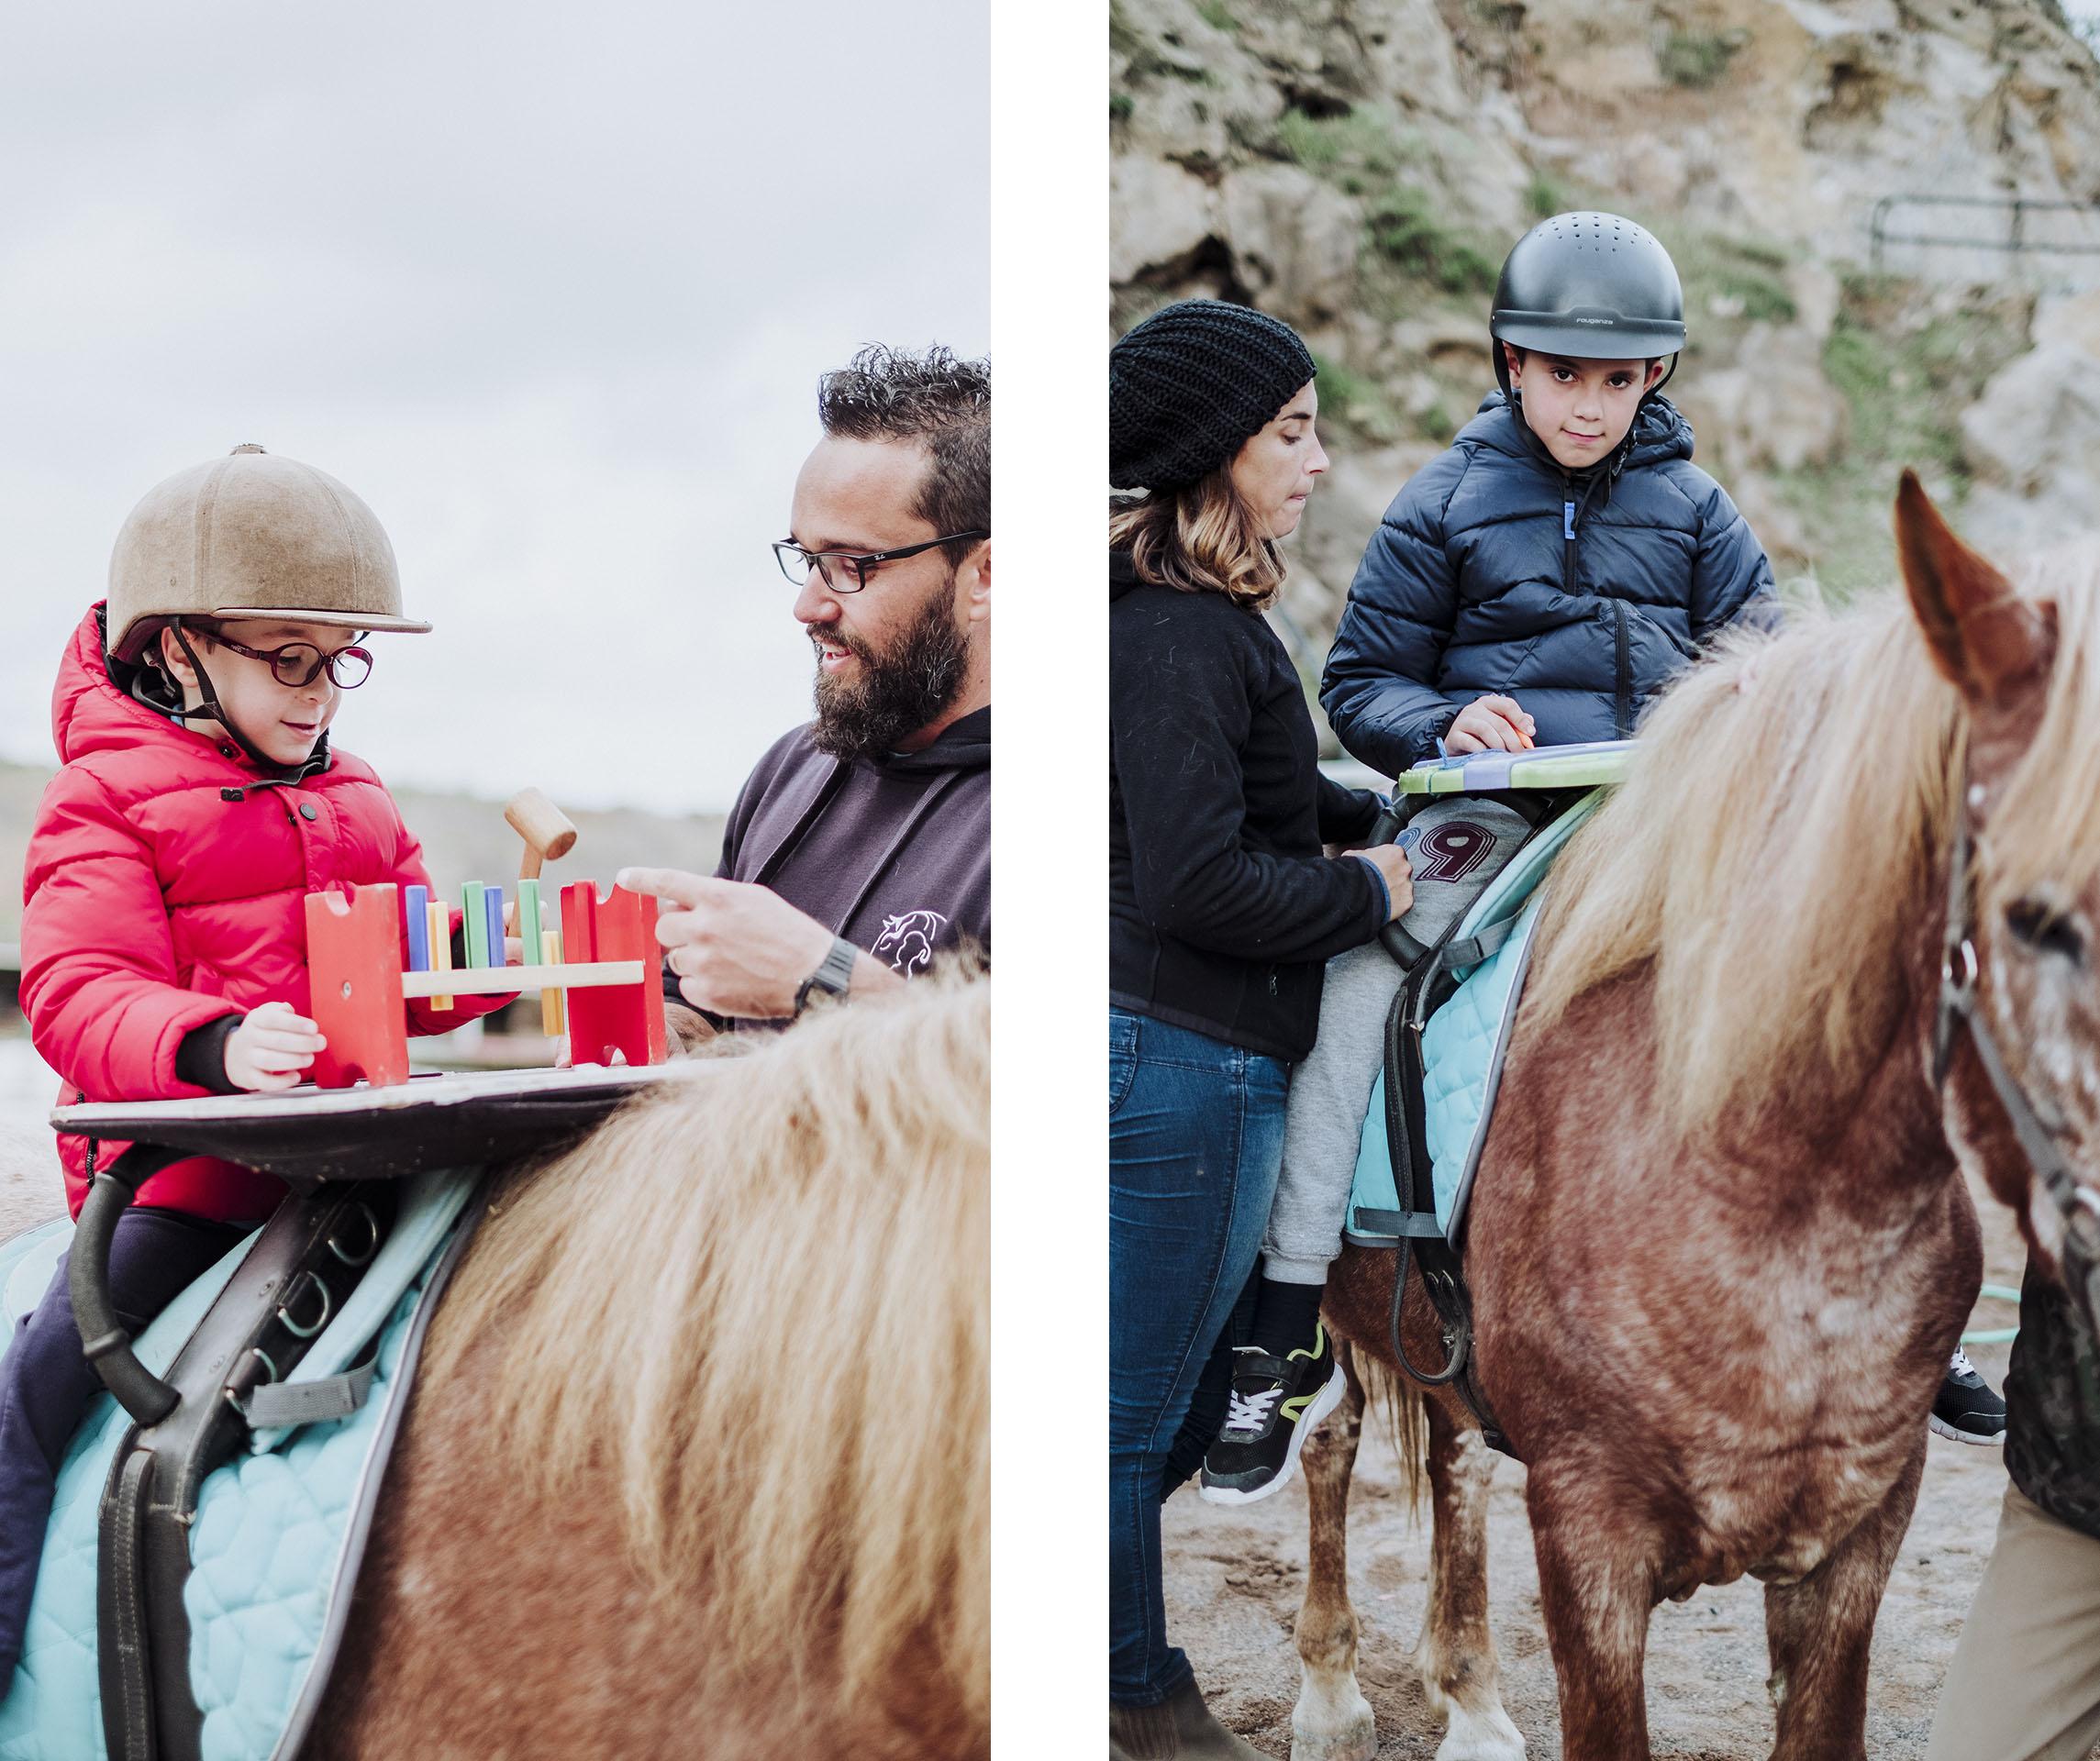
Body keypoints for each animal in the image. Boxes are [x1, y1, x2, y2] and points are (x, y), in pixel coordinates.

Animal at [1284, 471, 2100, 1761]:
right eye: (2033, 919)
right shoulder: (1590, 1547)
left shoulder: (1854, 1543)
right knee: (1327, 1443)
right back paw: (1327, 1696)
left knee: (1454, 1460)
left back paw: (1472, 1701)